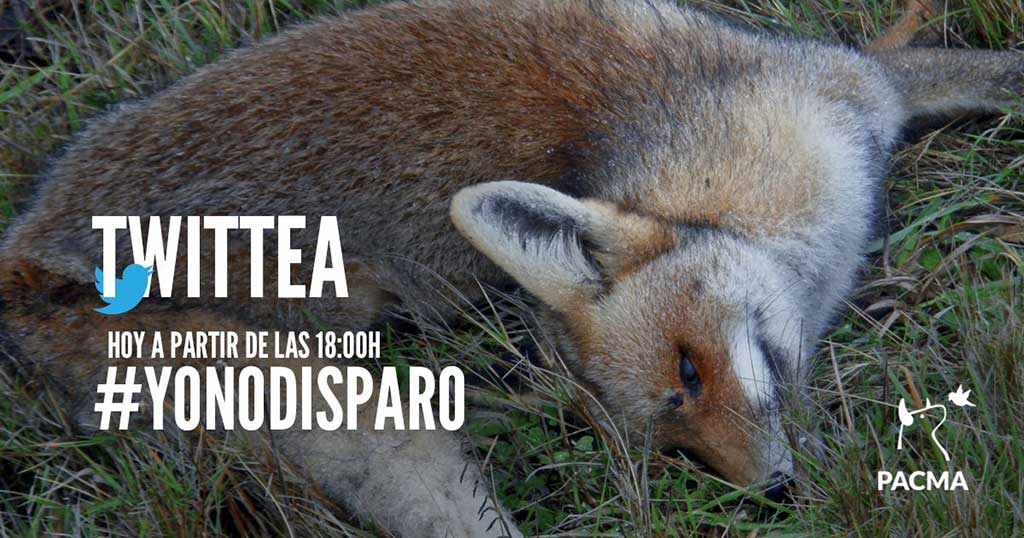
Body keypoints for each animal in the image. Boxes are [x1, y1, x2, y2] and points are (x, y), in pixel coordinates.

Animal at [1, 0, 1021, 536]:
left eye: (692, 369)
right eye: (677, 440)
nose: (773, 493)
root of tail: (23, 247)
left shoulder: (869, 88)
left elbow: (994, 71)